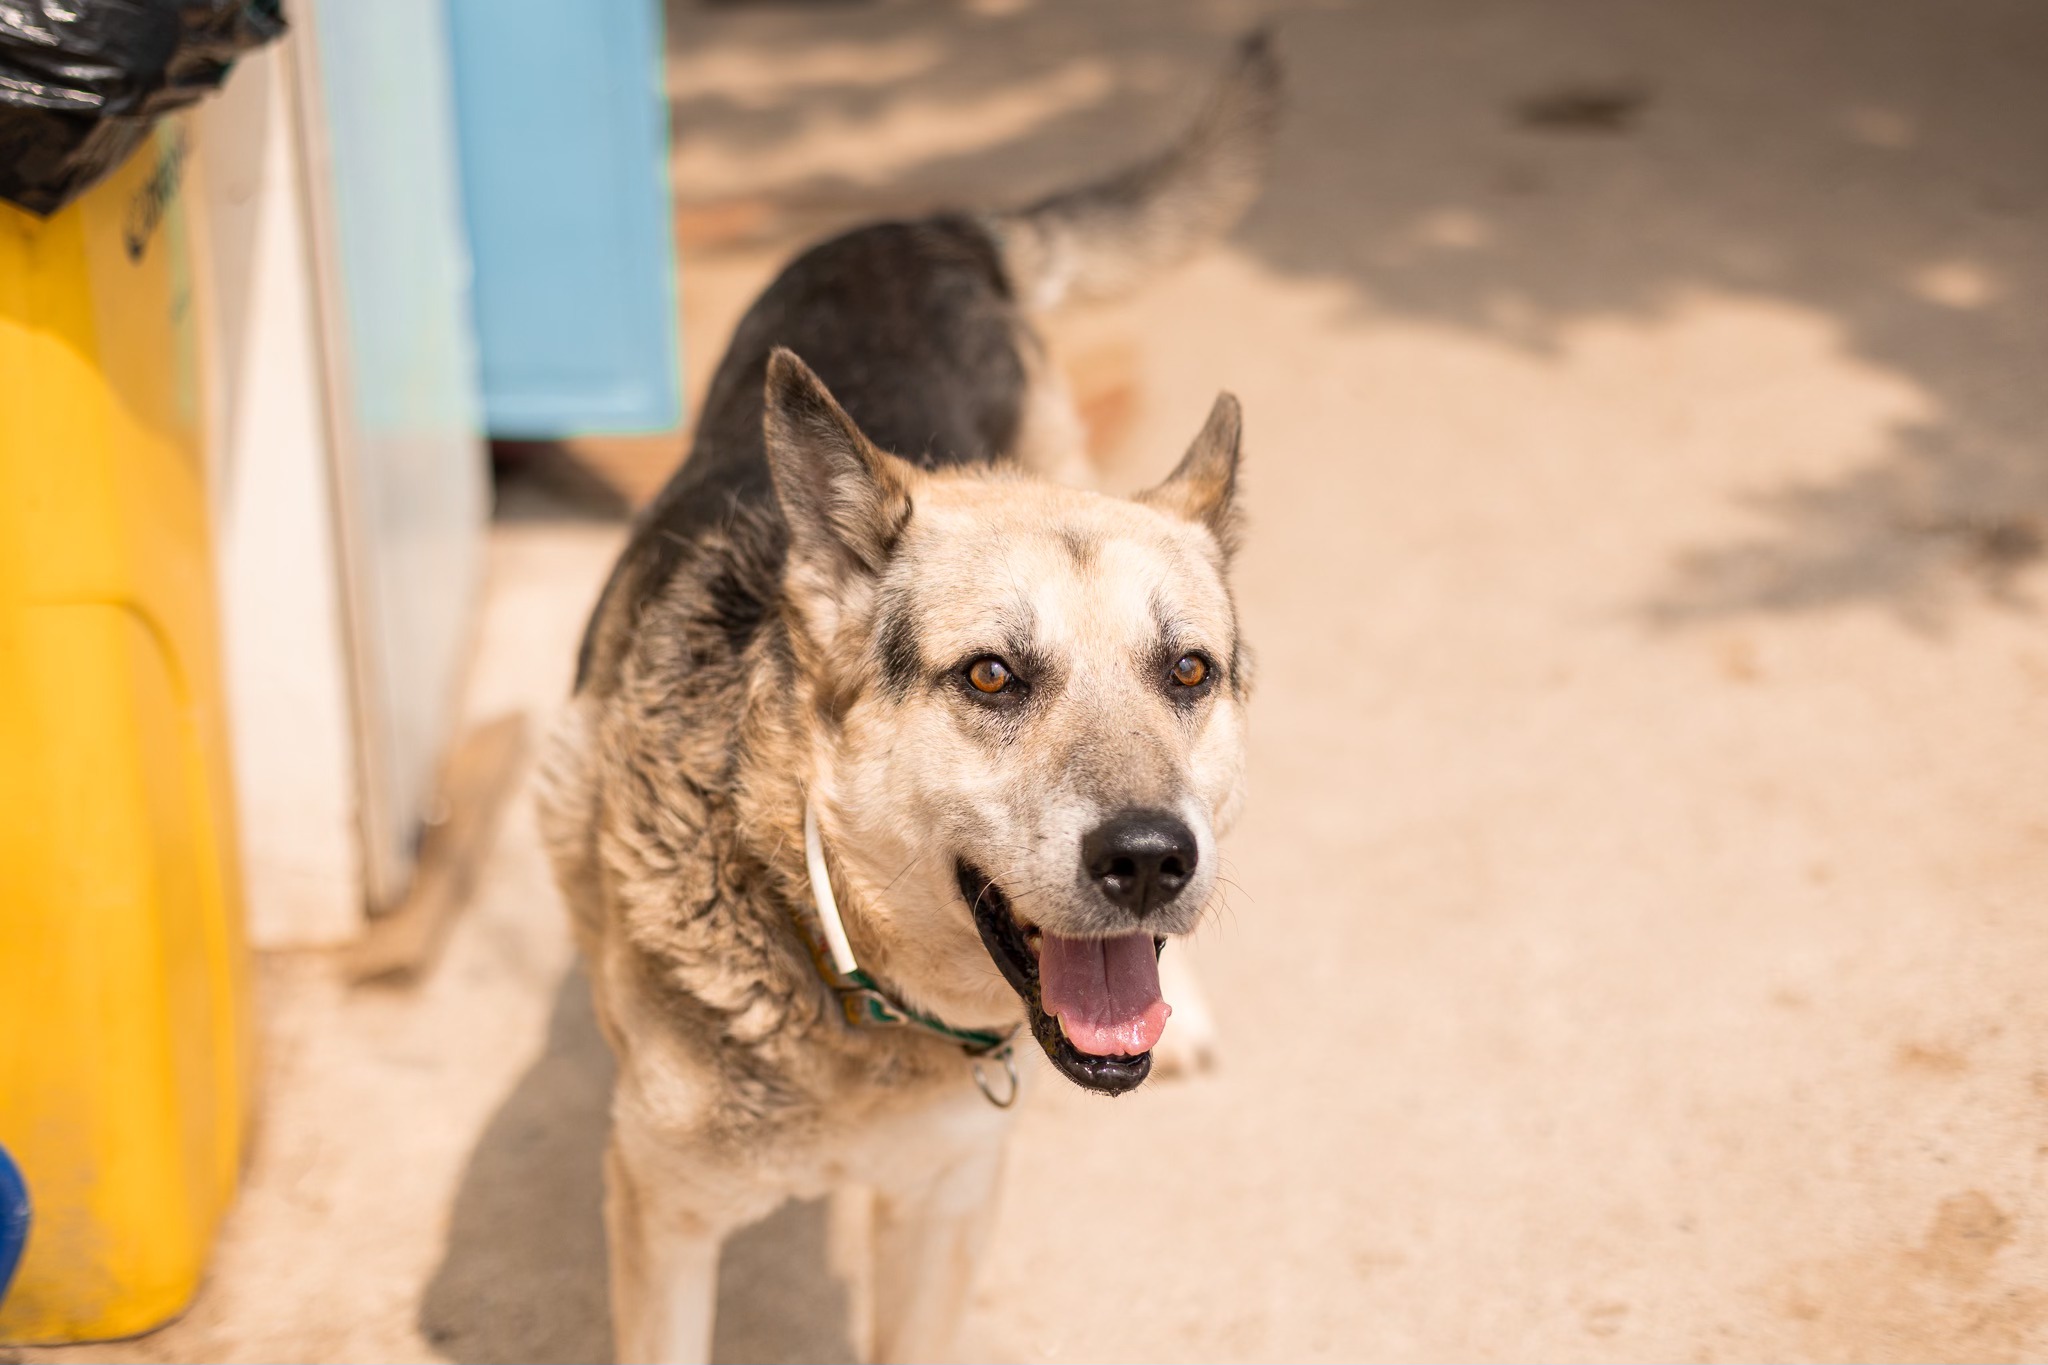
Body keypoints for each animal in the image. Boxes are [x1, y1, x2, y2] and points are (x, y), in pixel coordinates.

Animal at [538, 32, 1281, 1363]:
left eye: (1185, 672)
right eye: (989, 675)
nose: (1151, 860)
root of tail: (930, 224)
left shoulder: (942, 1209)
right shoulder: (665, 1222)